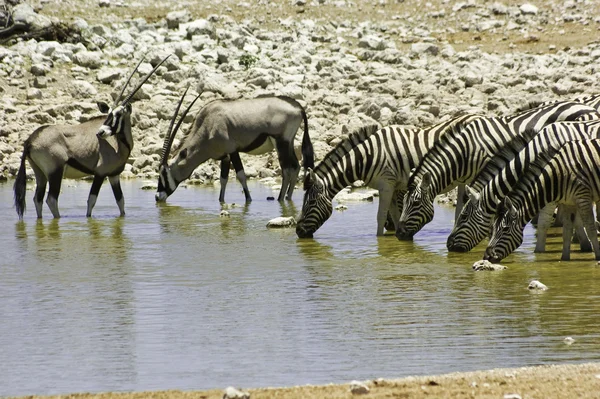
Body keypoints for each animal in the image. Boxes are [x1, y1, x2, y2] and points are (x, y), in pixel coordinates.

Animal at [14, 55, 169, 220]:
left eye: (118, 114)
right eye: (109, 114)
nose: (100, 132)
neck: (119, 144)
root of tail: (31, 140)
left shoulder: (114, 176)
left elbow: (120, 201)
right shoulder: (100, 174)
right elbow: (92, 200)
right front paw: (88, 219)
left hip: (41, 174)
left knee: (37, 199)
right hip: (55, 172)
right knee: (51, 199)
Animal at [155, 94, 314, 203]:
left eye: (164, 174)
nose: (157, 196)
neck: (207, 125)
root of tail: (297, 107)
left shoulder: (232, 151)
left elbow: (241, 175)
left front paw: (248, 199)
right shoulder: (225, 156)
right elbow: (223, 179)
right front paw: (221, 201)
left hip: (281, 143)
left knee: (287, 170)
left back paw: (281, 198)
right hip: (289, 143)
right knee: (296, 167)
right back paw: (287, 197)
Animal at [292, 111, 480, 238]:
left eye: (311, 202)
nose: (298, 231)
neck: (366, 157)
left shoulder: (386, 185)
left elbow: (380, 217)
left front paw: (379, 241)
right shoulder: (393, 186)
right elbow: (396, 216)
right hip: (463, 179)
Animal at [394, 99, 600, 241]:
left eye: (415, 203)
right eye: (403, 202)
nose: (399, 234)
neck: (465, 152)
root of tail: (588, 107)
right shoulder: (464, 180)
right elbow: (461, 206)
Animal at [446, 120, 600, 255]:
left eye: (463, 217)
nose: (448, 245)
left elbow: (544, 222)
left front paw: (539, 252)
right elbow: (575, 220)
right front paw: (584, 244)